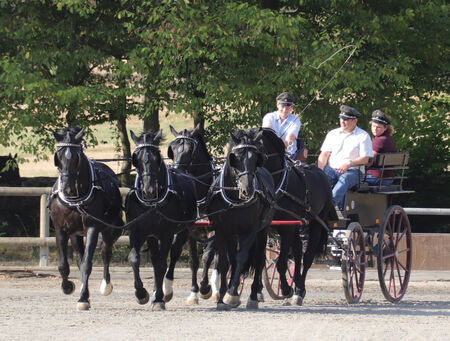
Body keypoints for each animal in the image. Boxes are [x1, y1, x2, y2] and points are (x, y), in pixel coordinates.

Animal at [48, 126, 123, 310]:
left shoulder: (93, 229)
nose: (67, 188)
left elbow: (88, 264)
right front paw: (68, 287)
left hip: (108, 230)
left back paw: (105, 286)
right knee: (80, 259)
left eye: (76, 157)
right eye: (58, 157)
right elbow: (64, 266)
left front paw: (82, 298)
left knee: (105, 253)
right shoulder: (61, 230)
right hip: (76, 234)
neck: (75, 199)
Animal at [125, 129, 198, 310]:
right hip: (151, 235)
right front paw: (141, 293)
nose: (149, 190)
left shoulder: (167, 234)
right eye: (136, 158)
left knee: (174, 254)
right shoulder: (137, 231)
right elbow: (134, 258)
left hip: (185, 229)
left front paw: (159, 298)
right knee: (154, 257)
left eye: (156, 158)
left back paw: (165, 290)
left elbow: (161, 265)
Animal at [165, 124, 221, 302]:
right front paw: (194, 292)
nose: (177, 171)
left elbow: (207, 257)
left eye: (191, 150)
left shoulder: (215, 231)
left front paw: (205, 288)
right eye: (172, 148)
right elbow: (193, 262)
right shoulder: (190, 231)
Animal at [205, 127, 274, 308]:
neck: (234, 198)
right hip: (233, 234)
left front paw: (231, 295)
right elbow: (224, 262)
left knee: (258, 260)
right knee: (232, 259)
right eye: (235, 158)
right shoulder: (222, 231)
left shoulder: (250, 230)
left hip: (262, 231)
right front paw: (223, 296)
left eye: (256, 159)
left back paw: (253, 296)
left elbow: (242, 257)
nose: (247, 190)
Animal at [258, 127, 336, 302]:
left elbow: (281, 262)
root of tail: (321, 173)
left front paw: (286, 289)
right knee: (299, 251)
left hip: (315, 224)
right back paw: (298, 287)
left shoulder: (287, 228)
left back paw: (299, 291)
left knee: (307, 257)